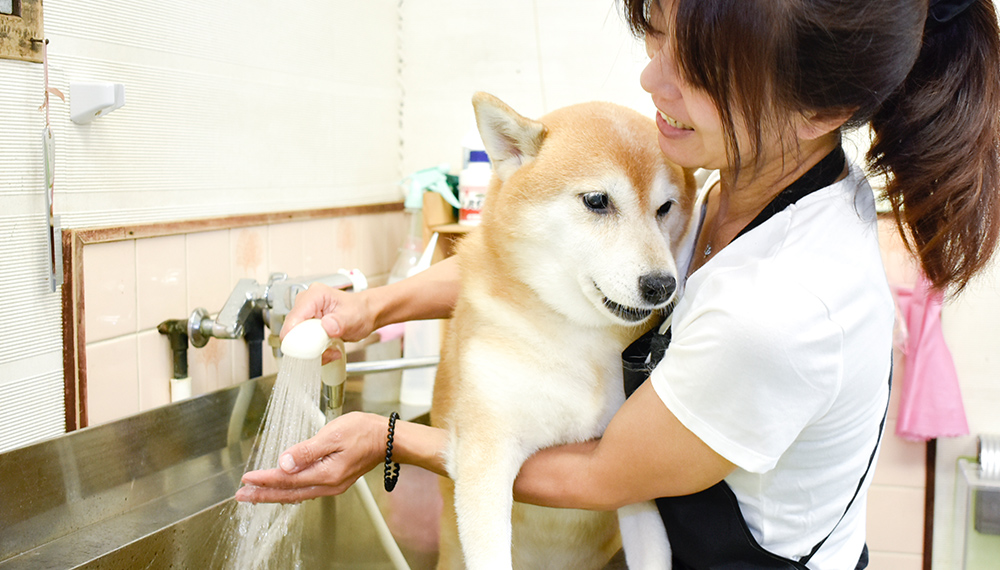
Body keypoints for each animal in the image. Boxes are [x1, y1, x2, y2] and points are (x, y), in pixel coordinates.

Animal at [434, 93, 700, 568]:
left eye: (665, 207)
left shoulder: (627, 476)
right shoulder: (486, 454)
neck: (577, 335)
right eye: (597, 200)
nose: (661, 286)